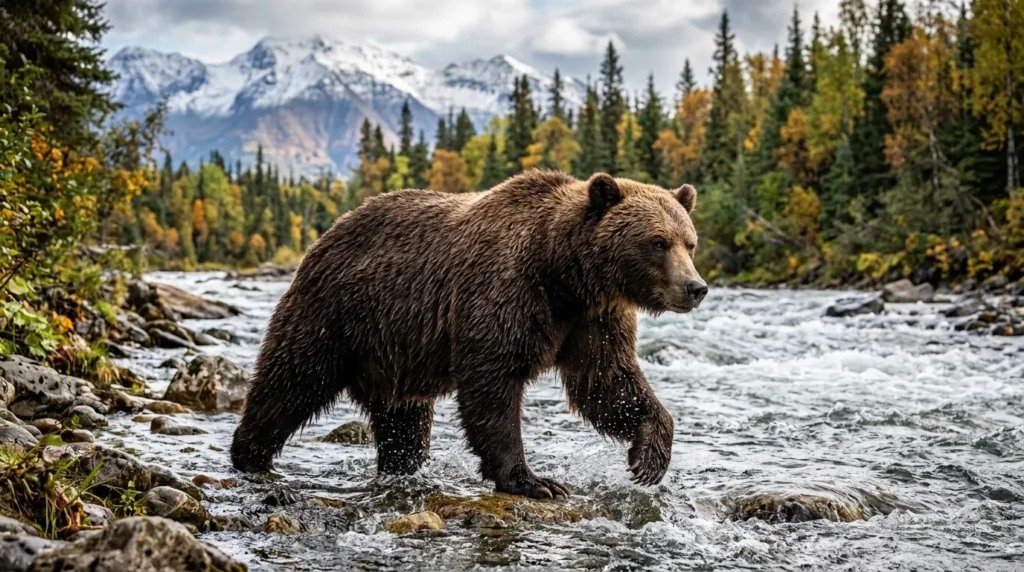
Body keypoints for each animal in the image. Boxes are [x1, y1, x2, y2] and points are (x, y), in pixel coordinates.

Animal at [230, 170, 707, 499]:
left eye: (690, 242)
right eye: (657, 242)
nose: (696, 287)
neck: (565, 275)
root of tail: (327, 233)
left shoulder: (592, 320)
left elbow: (607, 382)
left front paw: (648, 458)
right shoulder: (506, 294)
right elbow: (492, 385)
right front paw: (535, 480)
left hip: (394, 350)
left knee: (403, 420)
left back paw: (401, 469)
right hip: (336, 315)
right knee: (290, 382)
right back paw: (250, 457)